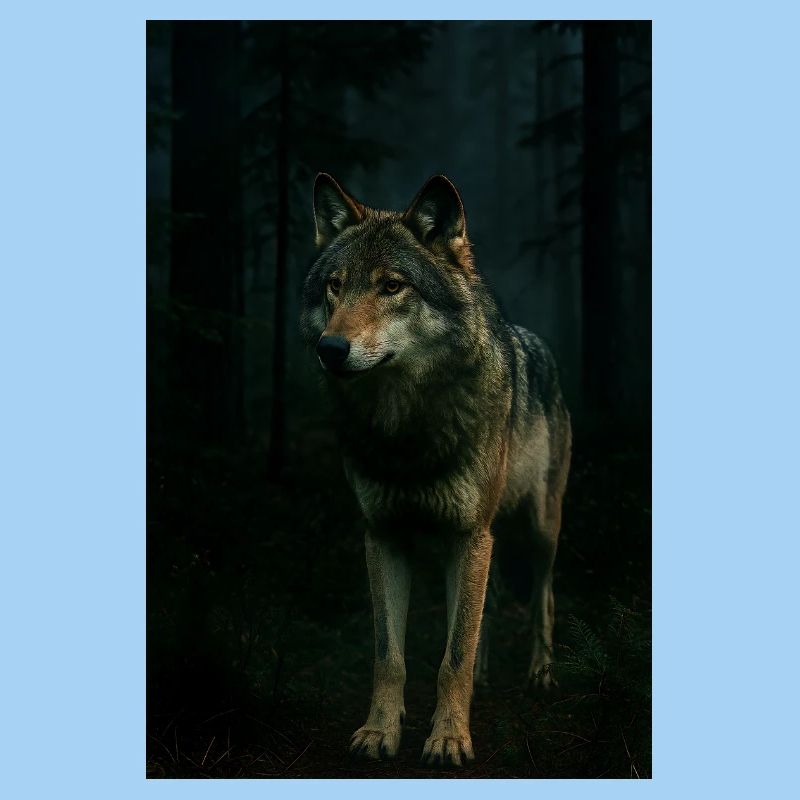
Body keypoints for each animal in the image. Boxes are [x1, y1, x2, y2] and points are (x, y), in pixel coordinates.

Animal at [300, 173, 571, 766]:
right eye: (334, 286)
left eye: (392, 286)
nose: (330, 348)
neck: (406, 429)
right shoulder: (383, 536)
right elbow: (391, 654)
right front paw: (379, 732)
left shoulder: (470, 535)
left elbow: (454, 656)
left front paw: (448, 738)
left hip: (538, 530)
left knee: (542, 595)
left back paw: (542, 673)